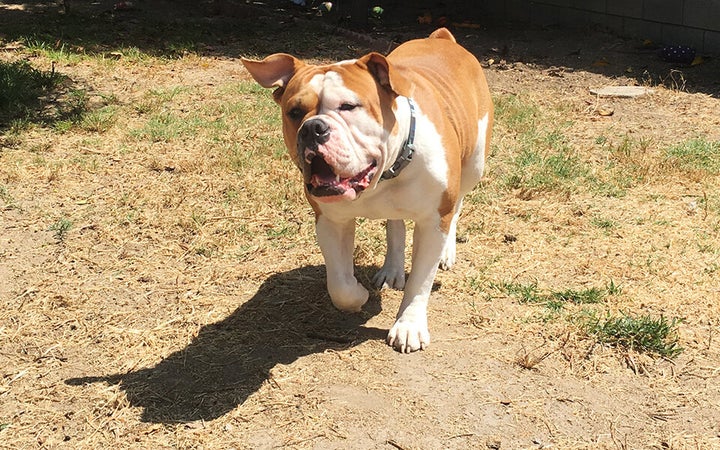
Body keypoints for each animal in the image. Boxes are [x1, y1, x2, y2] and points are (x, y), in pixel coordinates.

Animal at [242, 28, 496, 354]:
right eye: (294, 112)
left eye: (349, 106)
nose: (312, 128)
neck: (386, 172)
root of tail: (442, 38)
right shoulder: (331, 221)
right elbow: (339, 284)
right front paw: (359, 296)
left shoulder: (433, 221)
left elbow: (420, 281)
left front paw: (409, 325)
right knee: (395, 225)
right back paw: (392, 269)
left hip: (473, 165)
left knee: (458, 207)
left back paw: (446, 251)